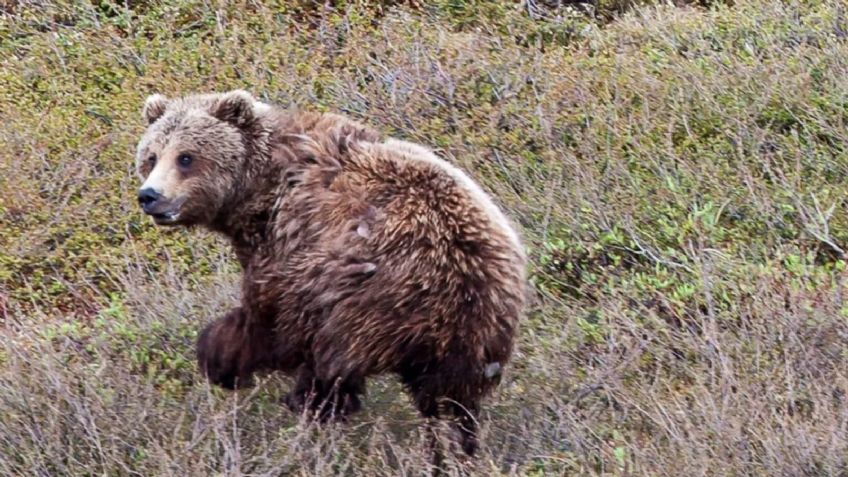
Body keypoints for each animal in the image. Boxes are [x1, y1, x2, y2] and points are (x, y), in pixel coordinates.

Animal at [136, 88, 528, 454]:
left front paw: (219, 355)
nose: (149, 195)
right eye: (151, 156)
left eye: (186, 157)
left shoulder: (290, 238)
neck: (258, 191)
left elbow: (268, 318)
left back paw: (309, 407)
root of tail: (465, 281)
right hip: (477, 337)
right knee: (452, 403)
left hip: (367, 293)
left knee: (328, 361)